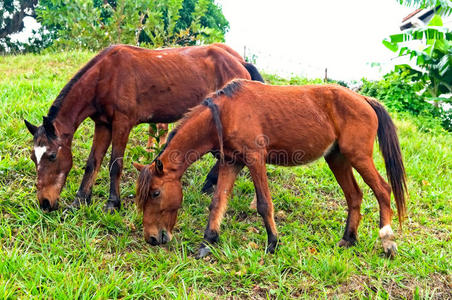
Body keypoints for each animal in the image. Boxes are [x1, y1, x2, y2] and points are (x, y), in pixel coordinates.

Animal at [23, 44, 264, 213]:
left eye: (52, 156)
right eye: (34, 158)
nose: (45, 203)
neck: (104, 76)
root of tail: (241, 63)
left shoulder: (122, 123)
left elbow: (115, 164)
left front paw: (113, 203)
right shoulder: (103, 124)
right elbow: (93, 162)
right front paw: (80, 200)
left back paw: (210, 182)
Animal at [133, 79, 406, 258]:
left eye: (156, 193)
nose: (152, 238)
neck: (225, 113)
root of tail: (364, 100)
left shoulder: (255, 159)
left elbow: (264, 204)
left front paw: (273, 243)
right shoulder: (231, 162)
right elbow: (217, 202)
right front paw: (207, 242)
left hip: (359, 157)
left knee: (383, 190)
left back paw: (387, 241)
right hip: (337, 159)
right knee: (354, 196)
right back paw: (349, 239)